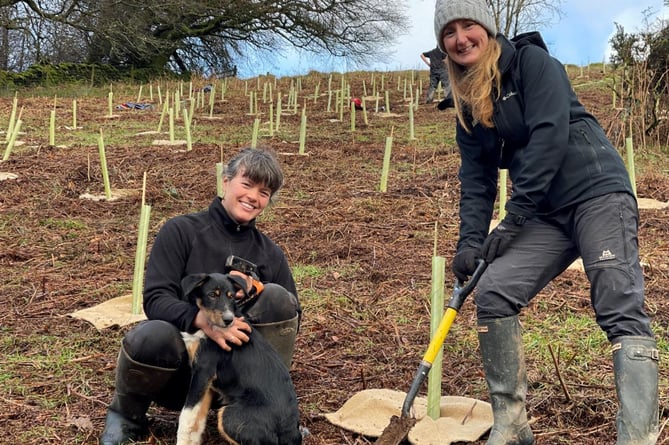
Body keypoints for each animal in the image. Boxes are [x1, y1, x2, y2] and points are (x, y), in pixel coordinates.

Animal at [177, 270, 302, 444]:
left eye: (231, 296)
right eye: (212, 295)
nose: (229, 320)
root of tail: (290, 432)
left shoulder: (203, 371)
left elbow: (187, 416)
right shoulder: (206, 382)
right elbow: (197, 420)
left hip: (229, 417)